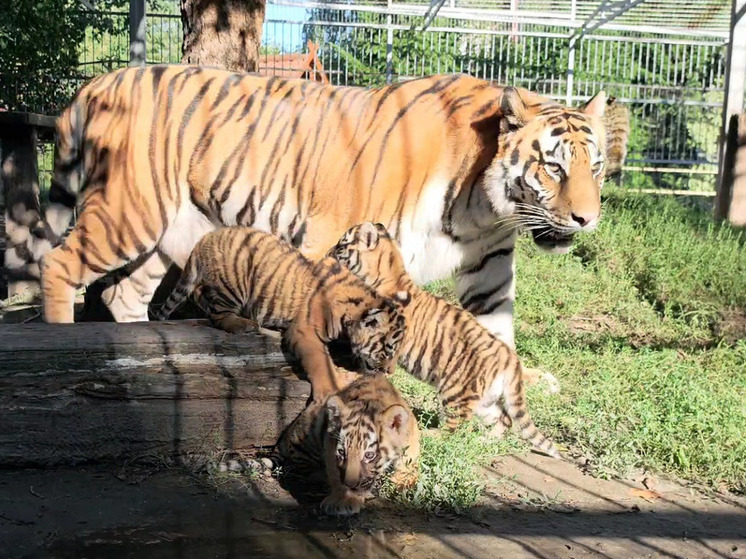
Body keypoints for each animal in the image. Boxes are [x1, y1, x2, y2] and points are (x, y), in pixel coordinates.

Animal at [40, 63, 608, 352]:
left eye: (597, 168)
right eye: (554, 168)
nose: (588, 219)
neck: (483, 207)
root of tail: (98, 81)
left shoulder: (489, 262)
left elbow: (498, 332)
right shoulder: (333, 235)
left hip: (164, 232)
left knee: (121, 294)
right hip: (130, 209)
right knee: (57, 263)